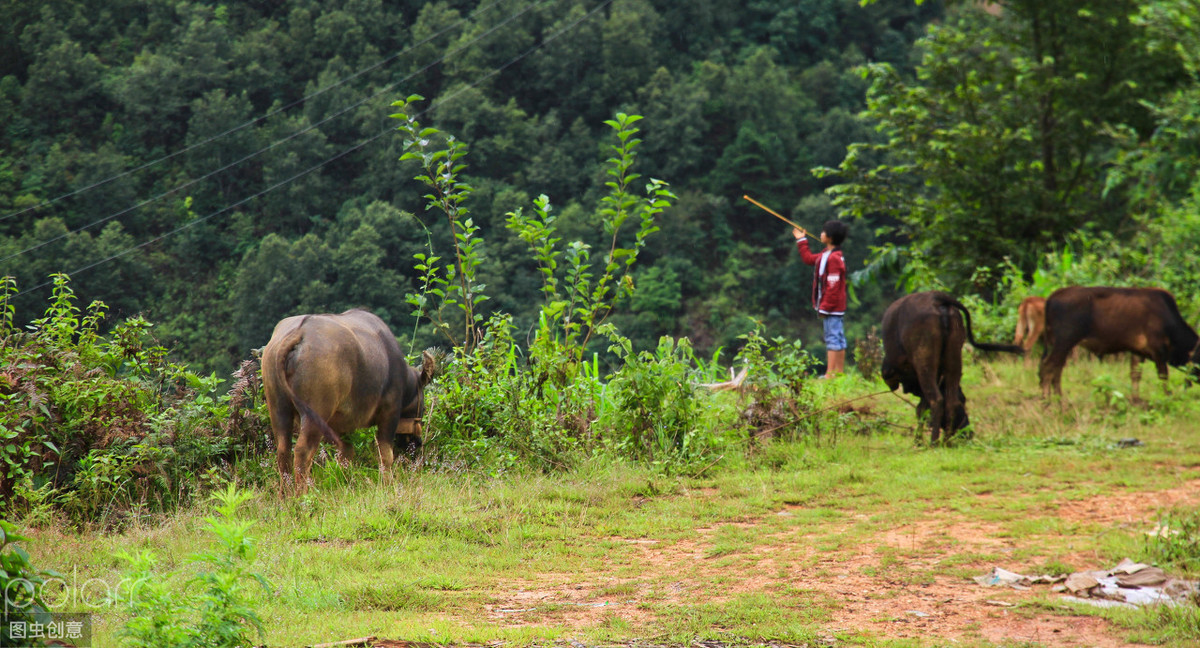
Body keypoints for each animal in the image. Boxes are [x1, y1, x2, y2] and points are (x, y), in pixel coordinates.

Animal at [262, 309, 436, 496]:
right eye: (424, 406)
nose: (418, 442)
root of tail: (299, 332)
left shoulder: (344, 425)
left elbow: (346, 454)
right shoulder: (390, 413)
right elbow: (386, 455)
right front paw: (388, 485)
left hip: (278, 409)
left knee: (283, 450)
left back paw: (285, 495)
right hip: (315, 413)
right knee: (302, 451)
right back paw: (303, 495)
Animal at [883, 291, 1022, 444]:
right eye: (964, 400)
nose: (968, 432)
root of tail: (937, 298)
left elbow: (921, 409)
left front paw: (918, 442)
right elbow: (922, 407)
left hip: (925, 362)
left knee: (937, 400)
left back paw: (933, 442)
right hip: (954, 357)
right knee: (951, 401)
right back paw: (946, 442)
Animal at [1036, 286, 1195, 403]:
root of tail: (1052, 297)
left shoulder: (1138, 352)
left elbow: (1135, 375)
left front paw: (1136, 400)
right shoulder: (1158, 350)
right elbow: (1163, 377)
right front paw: (1169, 397)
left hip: (1061, 345)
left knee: (1055, 370)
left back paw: (1059, 400)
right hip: (1064, 342)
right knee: (1048, 368)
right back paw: (1048, 403)